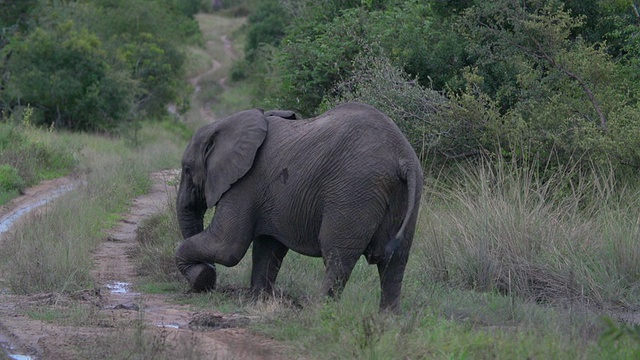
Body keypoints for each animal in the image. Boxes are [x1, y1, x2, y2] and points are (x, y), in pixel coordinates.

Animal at [175, 102, 424, 312]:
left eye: (187, 169)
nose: (205, 275)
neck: (223, 125)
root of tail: (402, 157)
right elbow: (268, 248)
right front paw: (257, 302)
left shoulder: (245, 182)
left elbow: (226, 247)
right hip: (405, 194)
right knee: (395, 261)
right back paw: (388, 319)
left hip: (354, 191)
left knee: (338, 256)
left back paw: (319, 311)